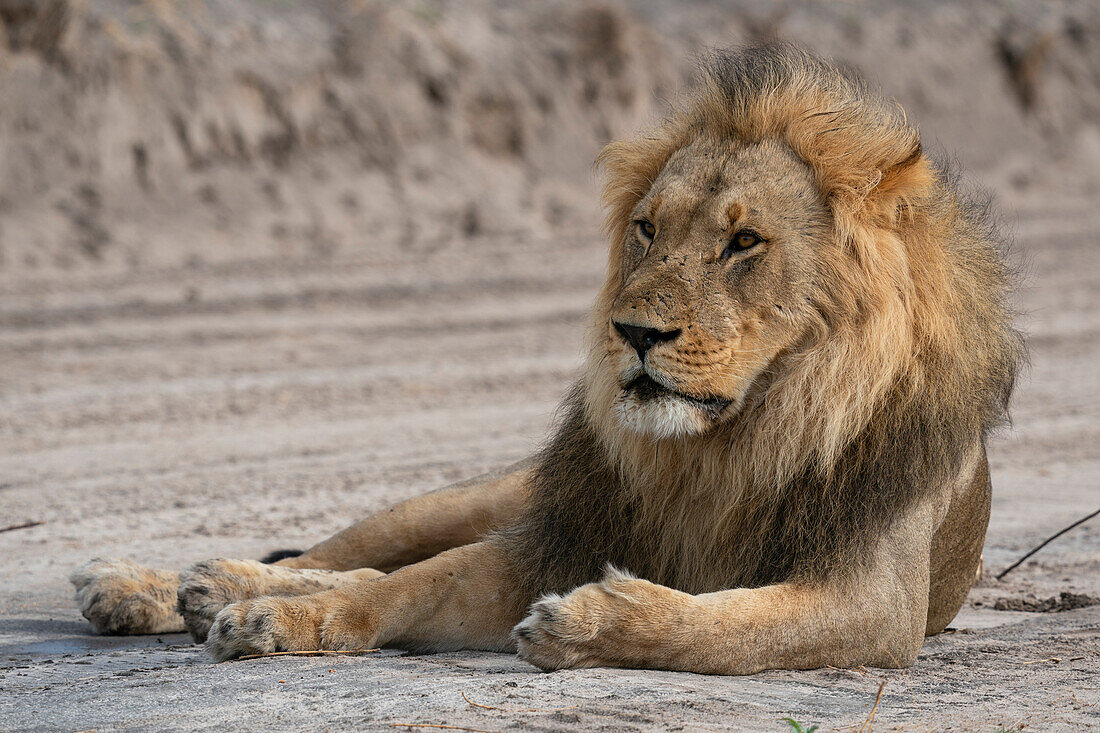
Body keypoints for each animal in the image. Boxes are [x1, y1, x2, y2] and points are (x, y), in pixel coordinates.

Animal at [70, 45, 1020, 669]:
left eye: (744, 242)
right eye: (648, 229)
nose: (633, 333)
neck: (726, 447)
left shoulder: (875, 603)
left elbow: (729, 627)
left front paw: (589, 623)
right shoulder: (551, 534)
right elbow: (402, 585)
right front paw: (272, 617)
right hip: (488, 493)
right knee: (352, 549)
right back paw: (170, 585)